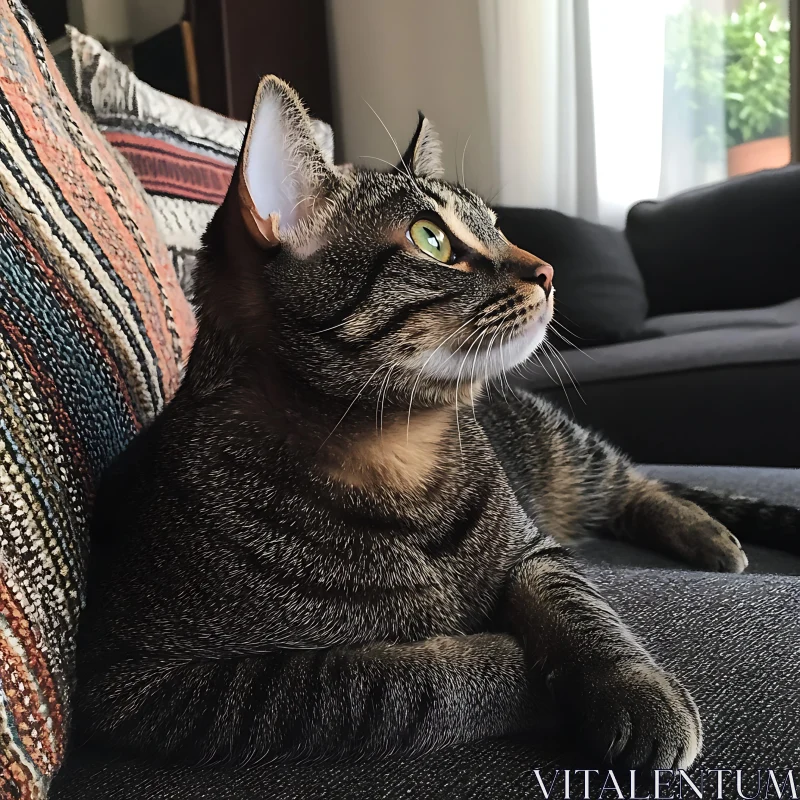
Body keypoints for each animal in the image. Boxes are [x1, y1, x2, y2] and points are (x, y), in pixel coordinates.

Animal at [73, 78, 792, 772]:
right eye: (431, 240)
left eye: (497, 226)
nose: (548, 270)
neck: (398, 454)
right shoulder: (146, 683)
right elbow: (394, 679)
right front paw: (528, 672)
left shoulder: (532, 549)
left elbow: (580, 606)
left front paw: (634, 686)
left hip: (563, 447)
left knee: (636, 483)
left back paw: (709, 533)